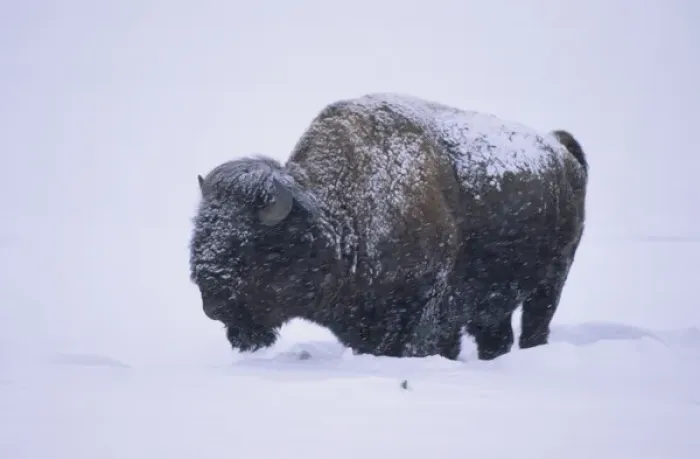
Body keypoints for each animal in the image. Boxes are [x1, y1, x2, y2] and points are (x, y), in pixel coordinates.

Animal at [189, 93, 588, 361]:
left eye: (250, 246)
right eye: (200, 235)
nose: (212, 303)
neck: (338, 214)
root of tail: (561, 151)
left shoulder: (426, 308)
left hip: (552, 281)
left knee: (536, 324)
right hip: (496, 302)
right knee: (496, 336)